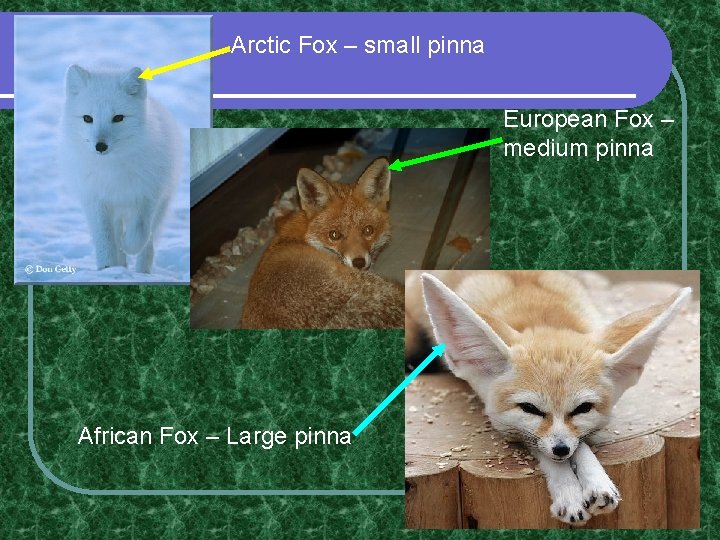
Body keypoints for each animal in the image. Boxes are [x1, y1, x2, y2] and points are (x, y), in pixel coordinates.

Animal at [59, 65, 182, 274]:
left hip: (160, 205)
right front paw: (106, 269)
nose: (100, 146)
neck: (113, 169)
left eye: (118, 118)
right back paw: (120, 267)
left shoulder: (148, 195)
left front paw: (128, 245)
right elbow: (105, 241)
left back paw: (142, 272)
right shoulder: (95, 200)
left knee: (149, 243)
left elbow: (139, 232)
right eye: (87, 118)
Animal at [411, 270, 690, 525]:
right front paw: (569, 494)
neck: (542, 311)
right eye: (529, 408)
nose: (560, 448)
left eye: (583, 408)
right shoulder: (508, 427)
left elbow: (581, 444)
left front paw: (596, 482)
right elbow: (541, 448)